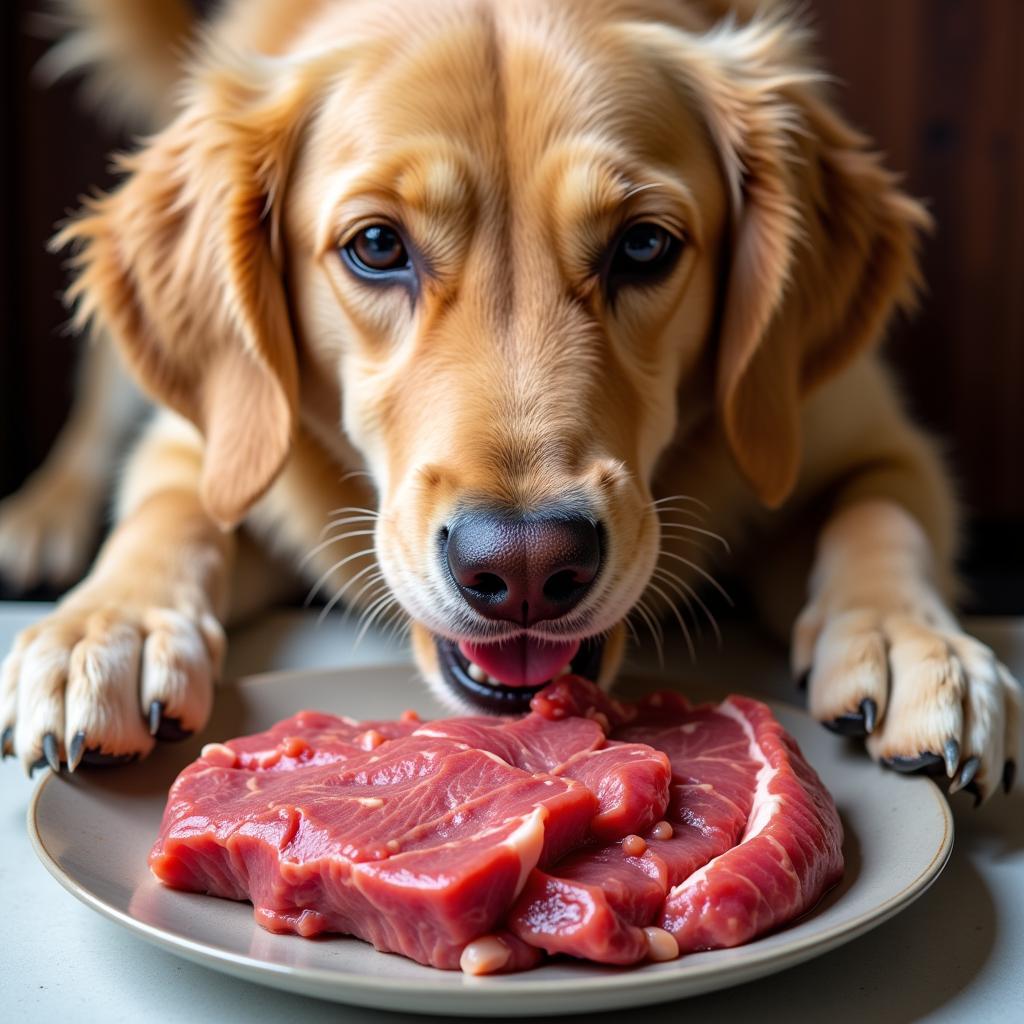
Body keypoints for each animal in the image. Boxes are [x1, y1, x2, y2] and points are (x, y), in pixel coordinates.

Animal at [0, 0, 1015, 798]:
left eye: (644, 245)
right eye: (377, 245)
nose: (524, 568)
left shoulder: (869, 435)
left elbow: (881, 511)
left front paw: (915, 644)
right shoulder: (217, 443)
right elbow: (172, 511)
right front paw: (111, 629)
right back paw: (42, 521)